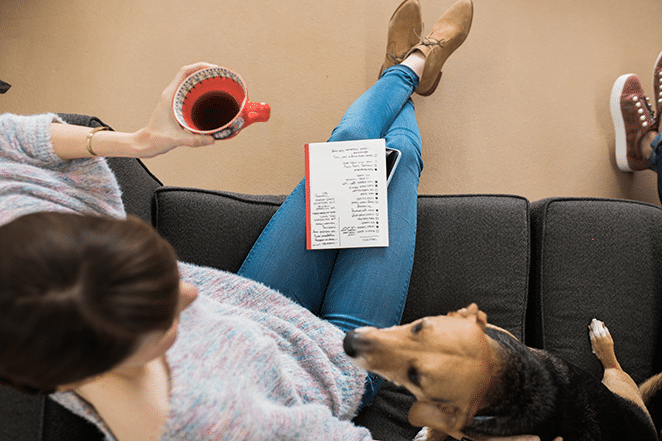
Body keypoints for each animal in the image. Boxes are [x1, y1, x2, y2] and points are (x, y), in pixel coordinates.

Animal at [342, 302, 662, 440]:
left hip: (618, 383)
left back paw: (601, 339)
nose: (348, 341)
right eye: (418, 326)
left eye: (415, 376)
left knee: (614, 364)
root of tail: (645, 421)